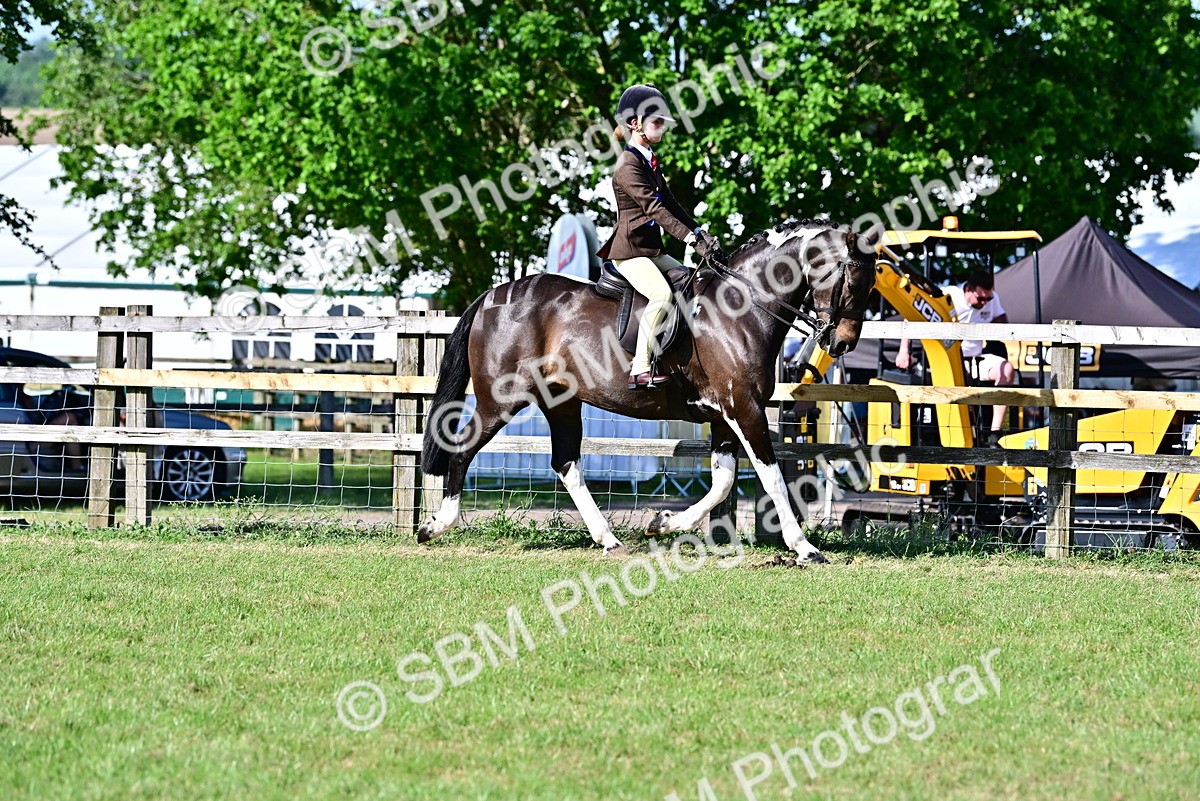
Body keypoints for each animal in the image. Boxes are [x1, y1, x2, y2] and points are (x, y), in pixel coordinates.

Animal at [417, 219, 878, 563]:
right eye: (854, 283)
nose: (842, 344)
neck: (740, 308)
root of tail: (492, 296)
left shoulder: (723, 416)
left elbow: (723, 482)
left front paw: (664, 523)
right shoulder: (743, 409)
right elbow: (772, 476)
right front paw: (805, 548)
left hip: (561, 402)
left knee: (566, 464)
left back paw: (608, 539)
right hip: (501, 399)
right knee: (463, 447)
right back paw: (435, 526)